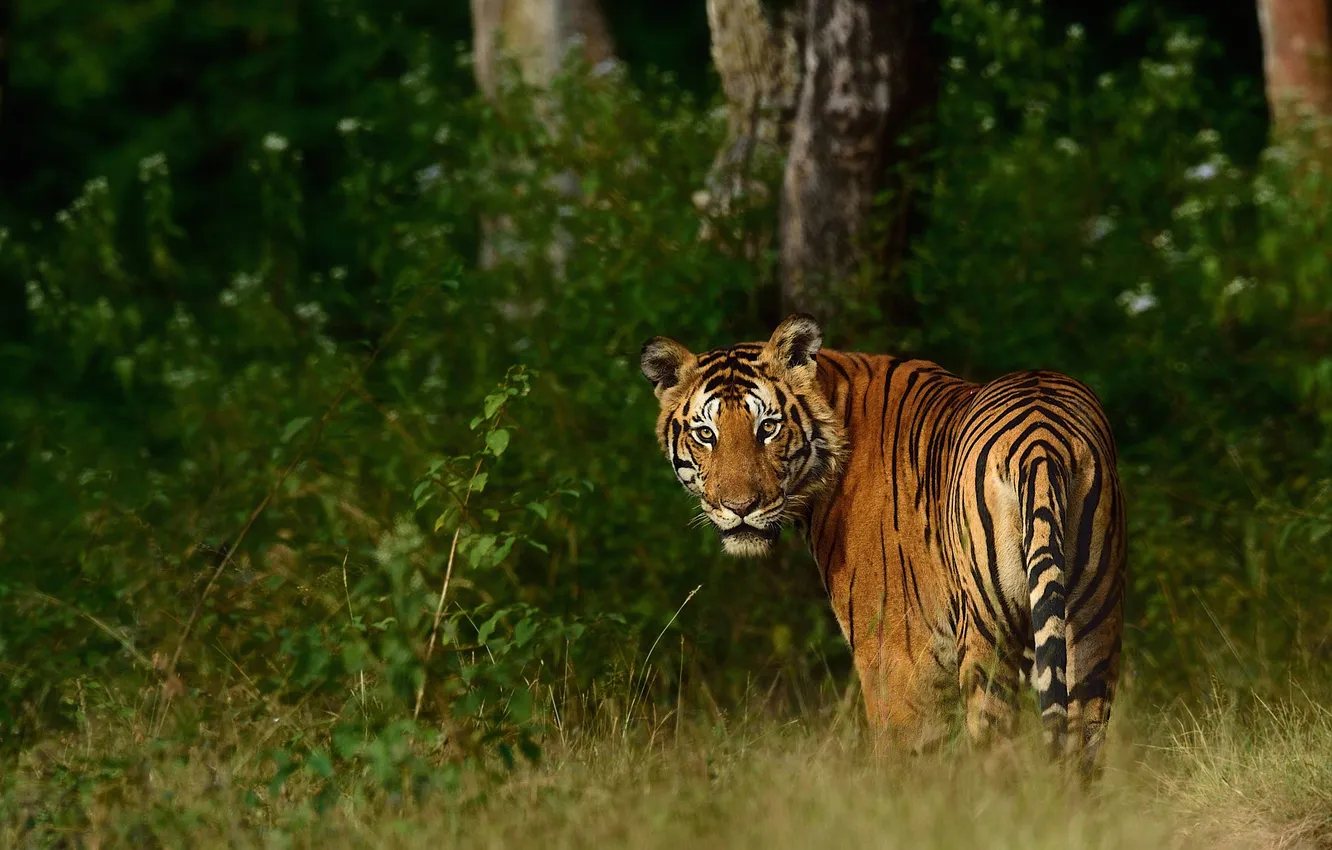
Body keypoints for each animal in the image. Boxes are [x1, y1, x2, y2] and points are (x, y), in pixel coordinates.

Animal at [640, 314, 1126, 778]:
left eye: (768, 427)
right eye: (706, 434)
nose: (740, 507)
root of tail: (1042, 442)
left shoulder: (898, 653)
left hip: (992, 627)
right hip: (1092, 624)